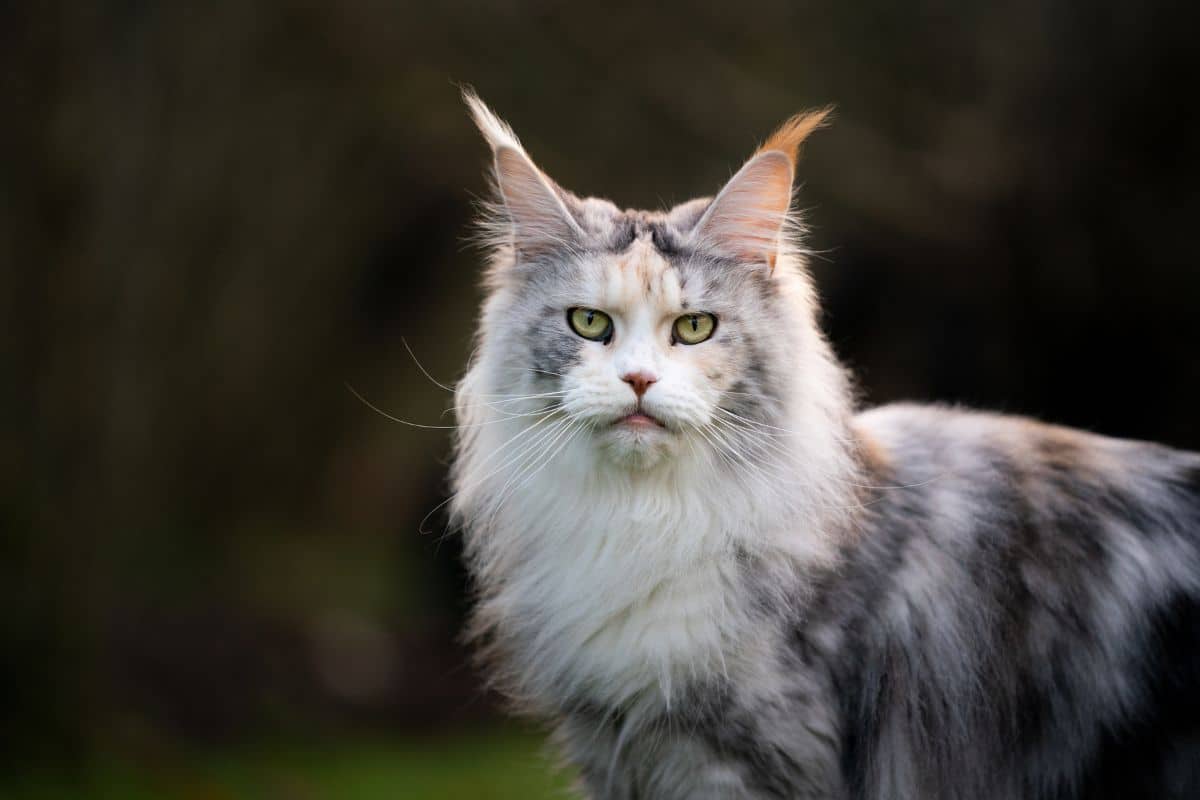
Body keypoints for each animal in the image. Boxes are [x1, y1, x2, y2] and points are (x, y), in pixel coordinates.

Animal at [448, 90, 1200, 796]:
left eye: (693, 328)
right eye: (588, 323)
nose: (637, 380)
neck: (646, 519)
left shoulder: (744, 759)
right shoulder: (613, 751)